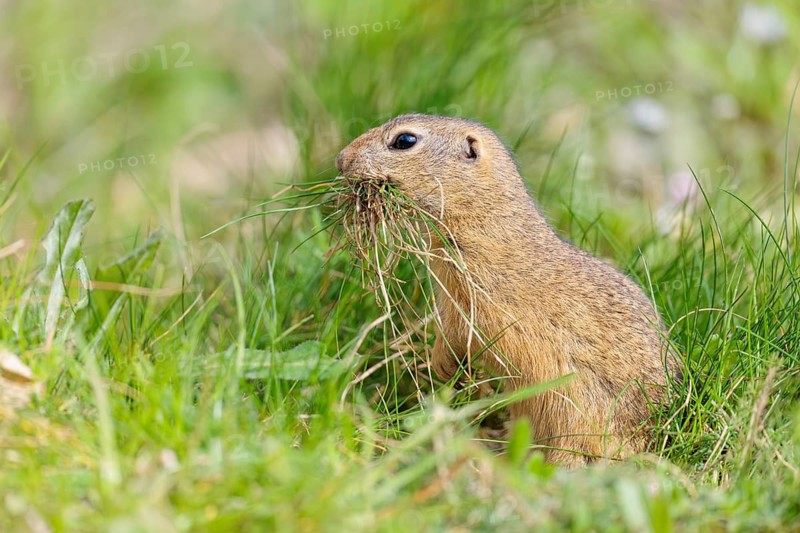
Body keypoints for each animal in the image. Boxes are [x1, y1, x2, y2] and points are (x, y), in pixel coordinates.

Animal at [335, 114, 680, 466]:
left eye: (404, 141)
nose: (341, 158)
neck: (486, 223)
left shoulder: (478, 305)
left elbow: (461, 335)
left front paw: (444, 368)